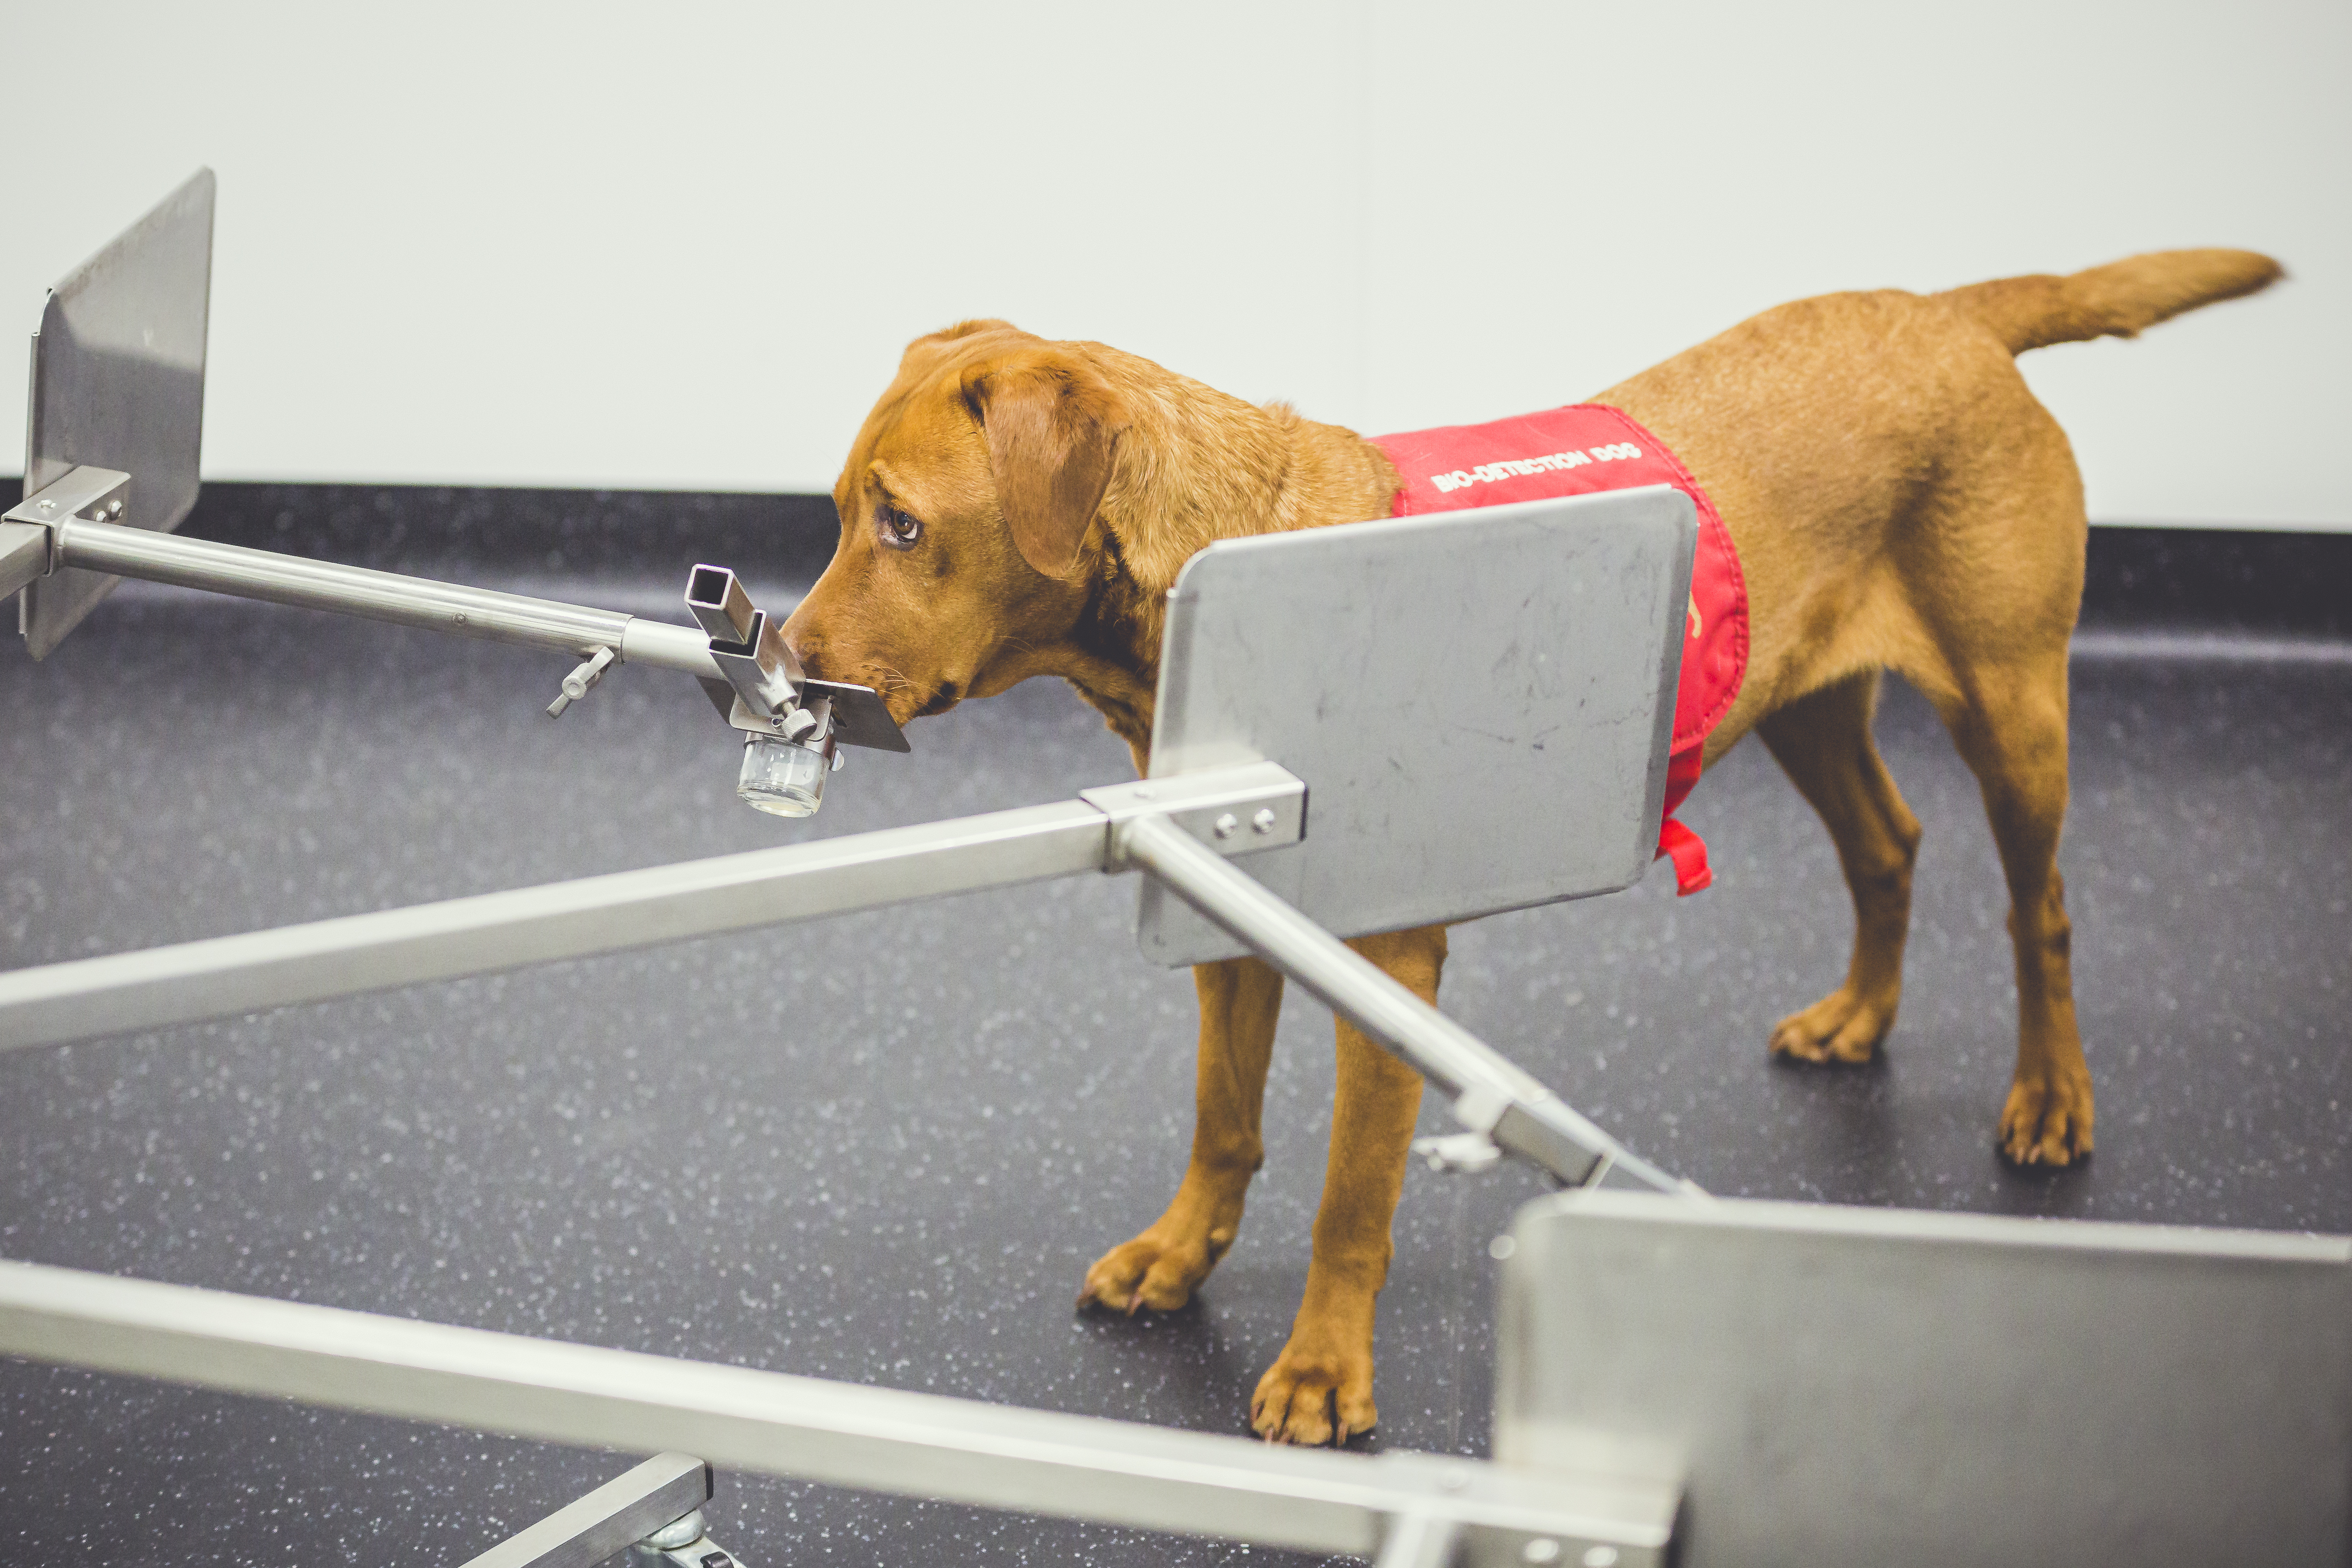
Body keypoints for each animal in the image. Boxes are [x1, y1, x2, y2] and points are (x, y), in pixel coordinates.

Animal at [785, 248, 2277, 1448]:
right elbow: (1222, 1118)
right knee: (1888, 844)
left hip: (2010, 706)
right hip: (1800, 698)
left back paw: (2050, 1100)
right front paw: (1177, 1254)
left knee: (2042, 911)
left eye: (904, 524)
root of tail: (1948, 311)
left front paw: (1324, 1375)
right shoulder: (1226, 911)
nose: (781, 662)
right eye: (843, 511)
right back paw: (1858, 1015)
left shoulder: (1392, 965)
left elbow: (1350, 1195)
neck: (1233, 569)